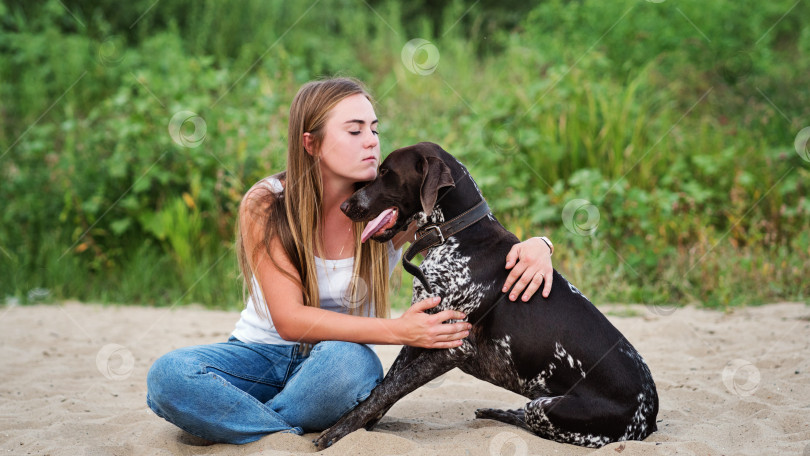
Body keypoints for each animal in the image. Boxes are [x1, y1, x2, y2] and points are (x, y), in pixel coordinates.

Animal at [312, 142, 652, 448]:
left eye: (386, 173)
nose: (345, 206)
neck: (454, 235)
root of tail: (649, 418)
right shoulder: (421, 331)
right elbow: (384, 389)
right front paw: (360, 428)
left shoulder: (453, 347)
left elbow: (387, 390)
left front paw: (336, 433)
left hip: (546, 407)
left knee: (534, 422)